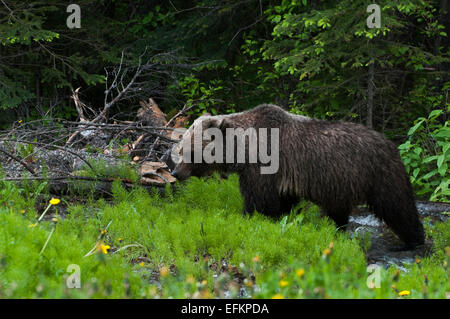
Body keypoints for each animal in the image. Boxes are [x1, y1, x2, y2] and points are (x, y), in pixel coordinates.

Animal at [170, 104, 426, 249]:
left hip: (379, 174)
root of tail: (391, 144)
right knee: (339, 212)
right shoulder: (285, 179)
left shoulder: (265, 165)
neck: (244, 149)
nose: (175, 172)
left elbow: (259, 200)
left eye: (188, 151)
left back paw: (414, 240)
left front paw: (246, 217)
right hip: (342, 184)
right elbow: (283, 202)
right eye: (181, 148)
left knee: (397, 206)